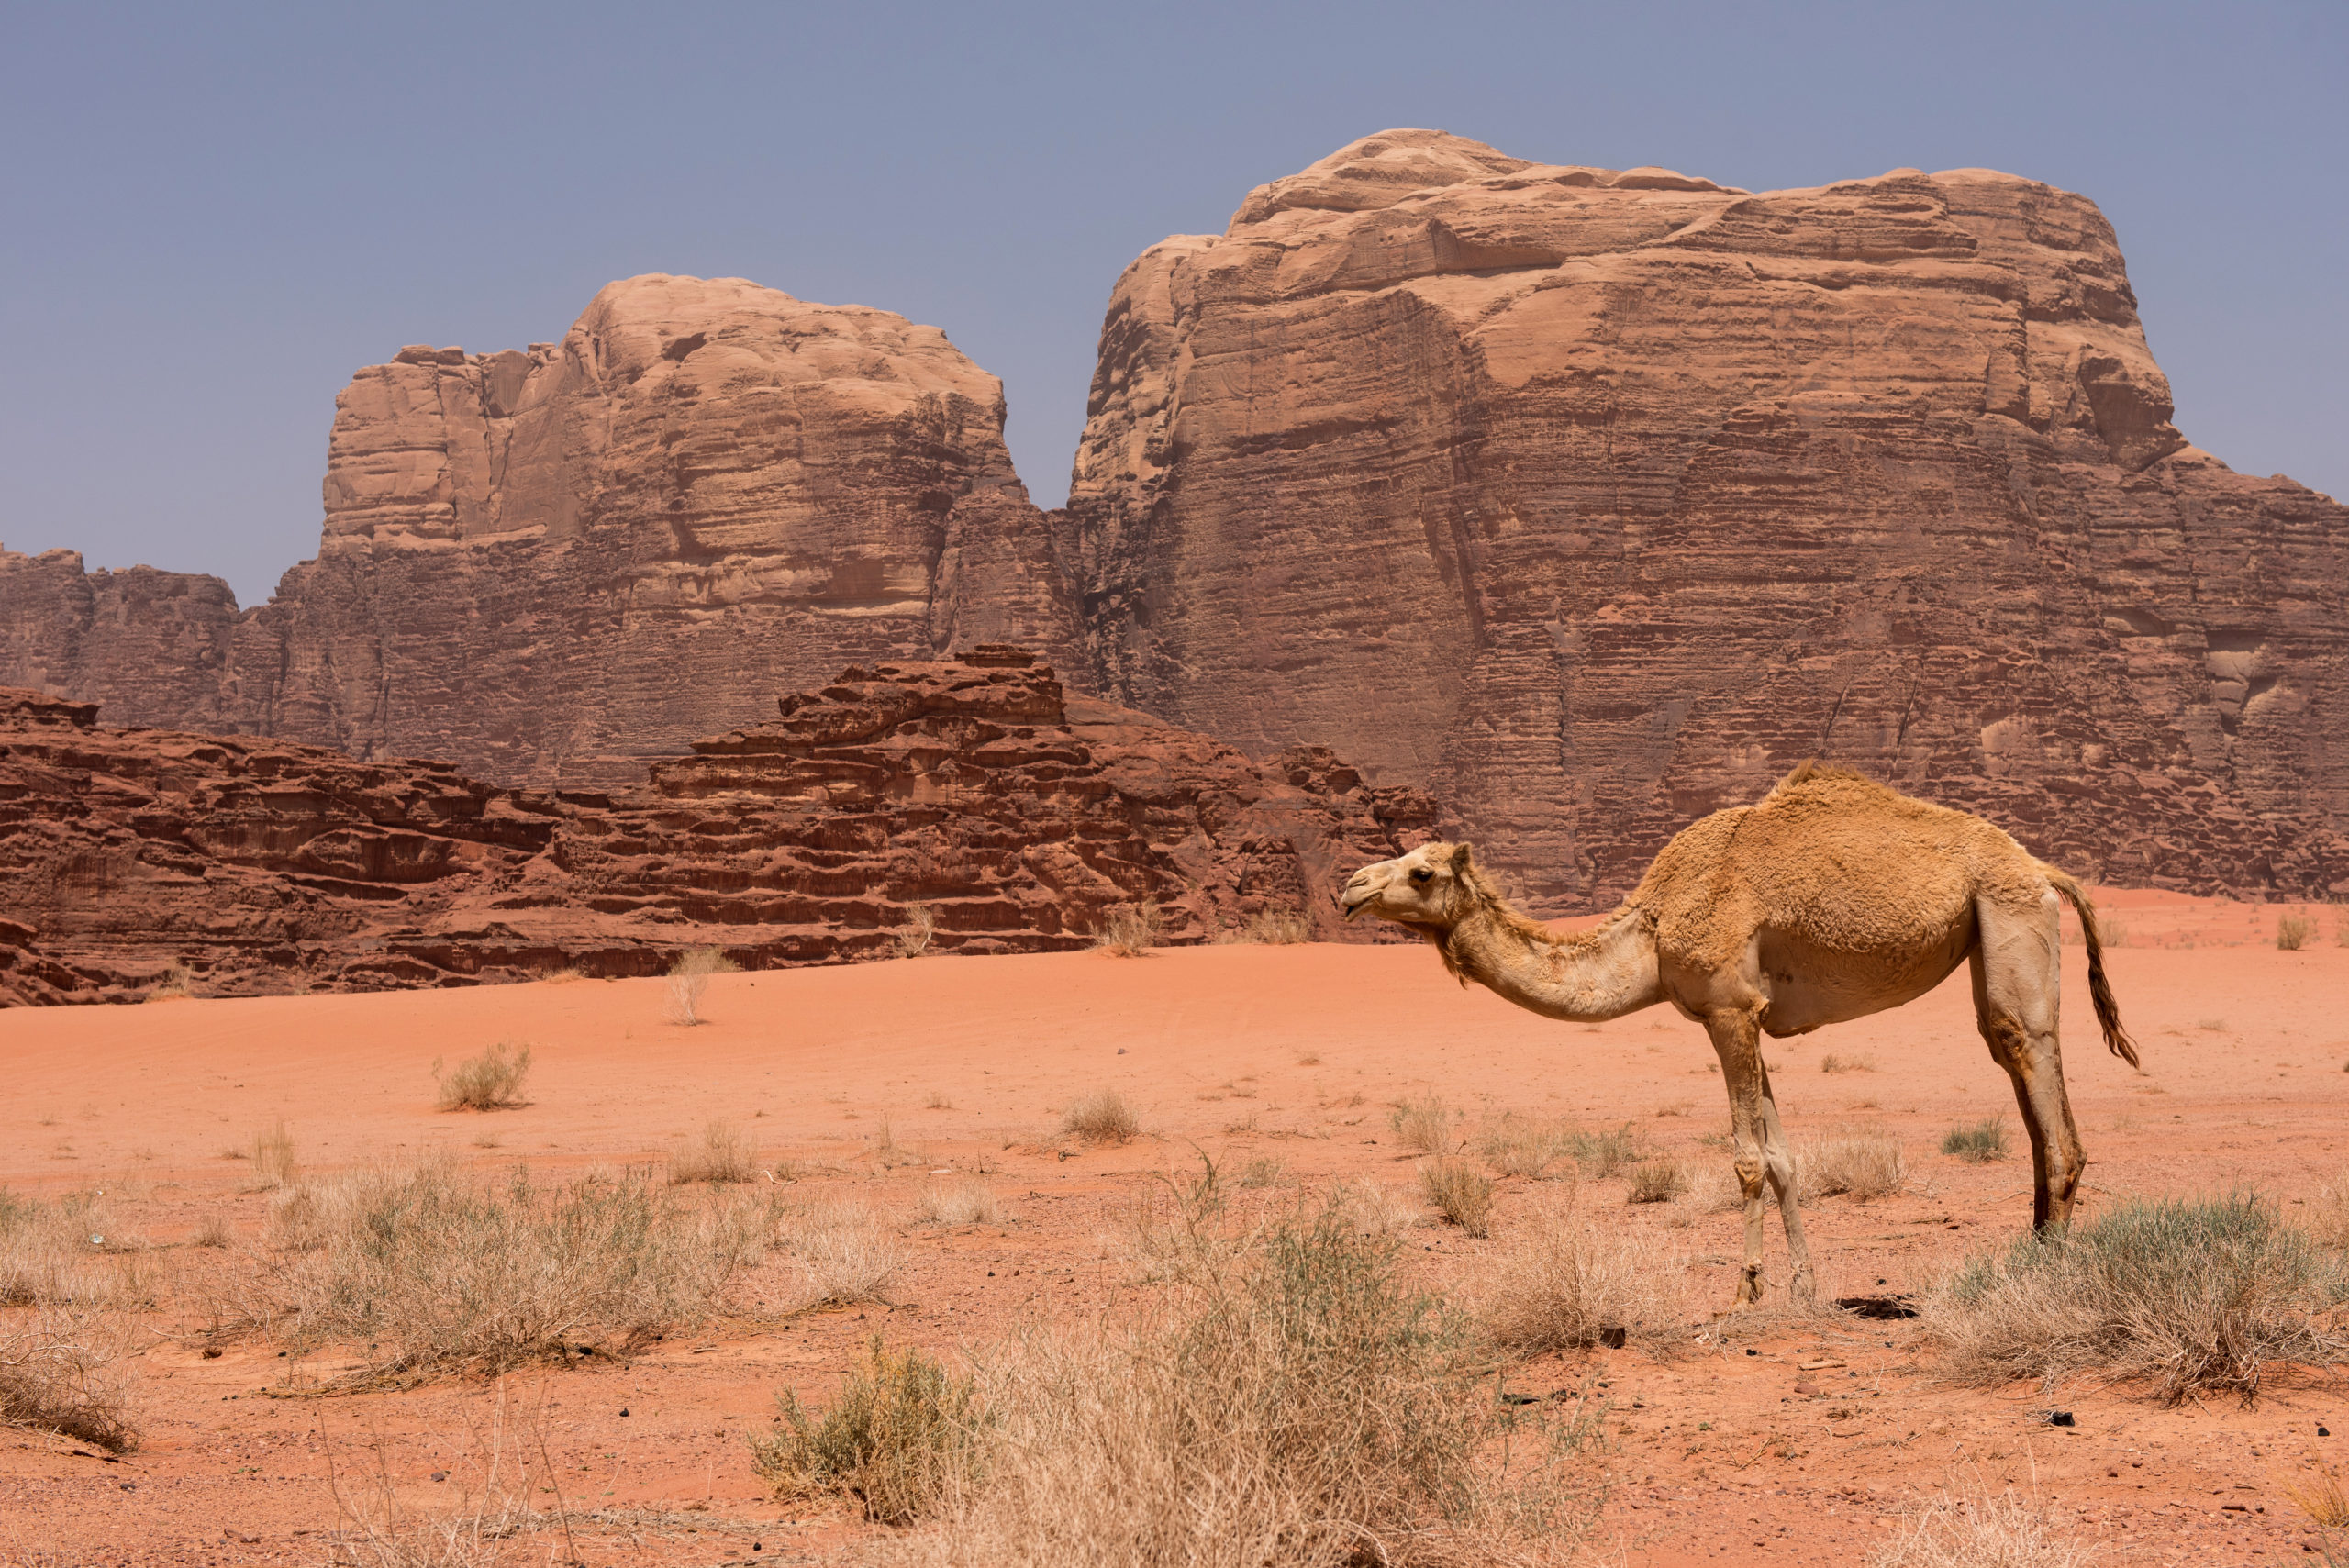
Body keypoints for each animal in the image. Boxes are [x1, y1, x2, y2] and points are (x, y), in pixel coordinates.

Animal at [1334, 765, 2142, 1305]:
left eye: (1422, 871)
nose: (1350, 888)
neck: (1652, 929)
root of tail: (2041, 866)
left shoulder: (1727, 1009)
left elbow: (1748, 1160)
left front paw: (1746, 1289)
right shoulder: (1750, 1017)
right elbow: (1784, 1157)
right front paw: (1805, 1286)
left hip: (2008, 913)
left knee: (2028, 1053)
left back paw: (2046, 1267)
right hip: (1992, 926)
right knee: (2020, 1078)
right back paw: (2033, 1250)